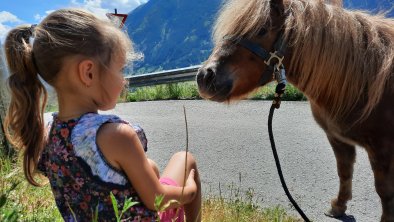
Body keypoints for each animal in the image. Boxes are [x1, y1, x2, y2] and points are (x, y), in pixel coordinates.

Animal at [197, 0, 394, 220]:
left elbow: (384, 190)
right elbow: (344, 171)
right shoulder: (337, 138)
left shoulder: (382, 149)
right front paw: (338, 206)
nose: (205, 77)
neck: (364, 80)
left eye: (261, 30)